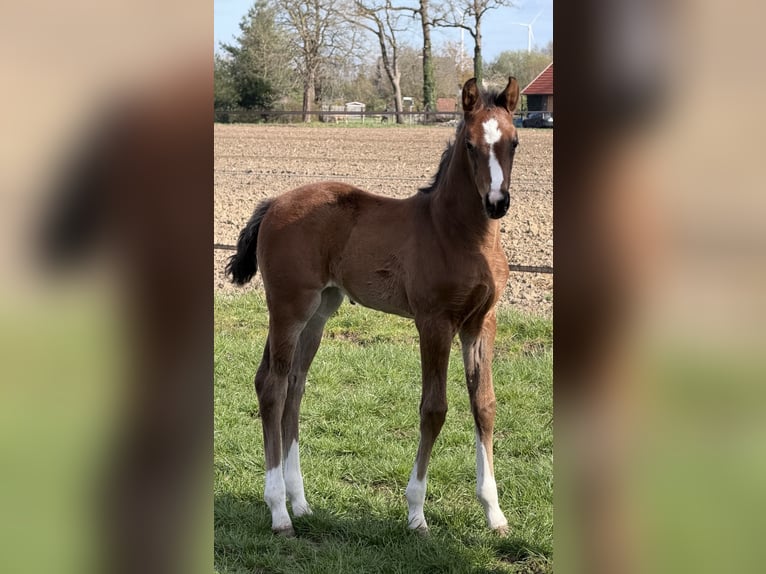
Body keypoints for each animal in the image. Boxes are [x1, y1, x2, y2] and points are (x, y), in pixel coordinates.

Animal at [226, 76, 520, 537]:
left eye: (515, 142)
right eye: (470, 144)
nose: (497, 202)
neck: (459, 234)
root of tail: (273, 202)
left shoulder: (481, 323)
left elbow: (485, 405)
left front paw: (495, 514)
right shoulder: (434, 322)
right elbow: (434, 409)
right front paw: (416, 514)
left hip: (318, 313)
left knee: (293, 386)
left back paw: (300, 503)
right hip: (288, 307)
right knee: (273, 386)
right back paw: (279, 513)